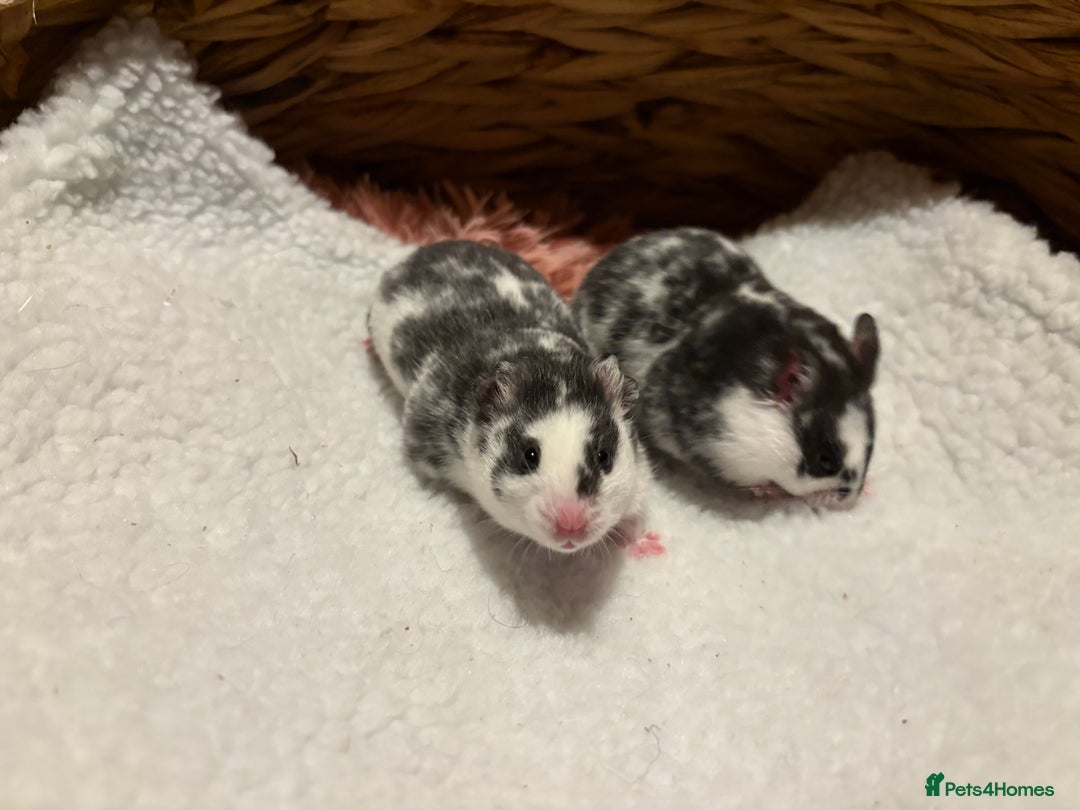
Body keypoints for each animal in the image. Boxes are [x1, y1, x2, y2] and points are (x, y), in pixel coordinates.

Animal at [367, 241, 649, 553]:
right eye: (529, 456)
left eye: (604, 456)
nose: (571, 524)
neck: (540, 356)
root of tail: (427, 250)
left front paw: (637, 536)